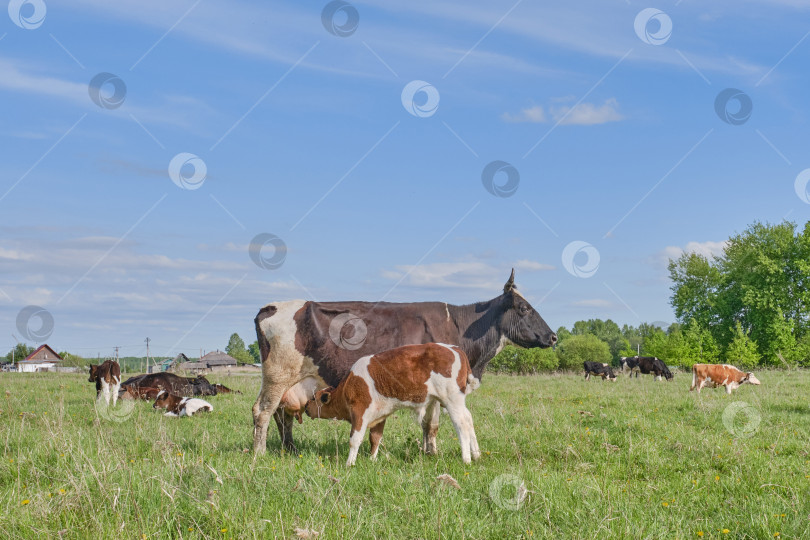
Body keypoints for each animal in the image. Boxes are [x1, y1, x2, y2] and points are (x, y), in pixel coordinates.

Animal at [304, 344, 480, 466]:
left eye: (314, 398)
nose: (305, 407)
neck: (349, 384)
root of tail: (455, 348)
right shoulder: (379, 415)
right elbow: (375, 438)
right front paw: (372, 459)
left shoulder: (360, 412)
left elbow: (355, 439)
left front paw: (349, 463)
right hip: (457, 401)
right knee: (469, 419)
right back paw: (476, 454)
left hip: (452, 400)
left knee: (461, 424)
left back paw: (466, 458)